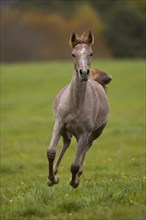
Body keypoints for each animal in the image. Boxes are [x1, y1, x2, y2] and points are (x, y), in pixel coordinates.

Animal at [46, 31, 112, 188]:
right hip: (66, 130)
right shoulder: (59, 123)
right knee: (67, 142)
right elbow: (51, 152)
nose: (84, 72)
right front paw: (51, 179)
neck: (76, 104)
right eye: (73, 54)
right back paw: (55, 172)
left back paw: (77, 176)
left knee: (86, 147)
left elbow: (75, 164)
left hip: (94, 133)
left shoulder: (84, 132)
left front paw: (74, 181)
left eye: (91, 53)